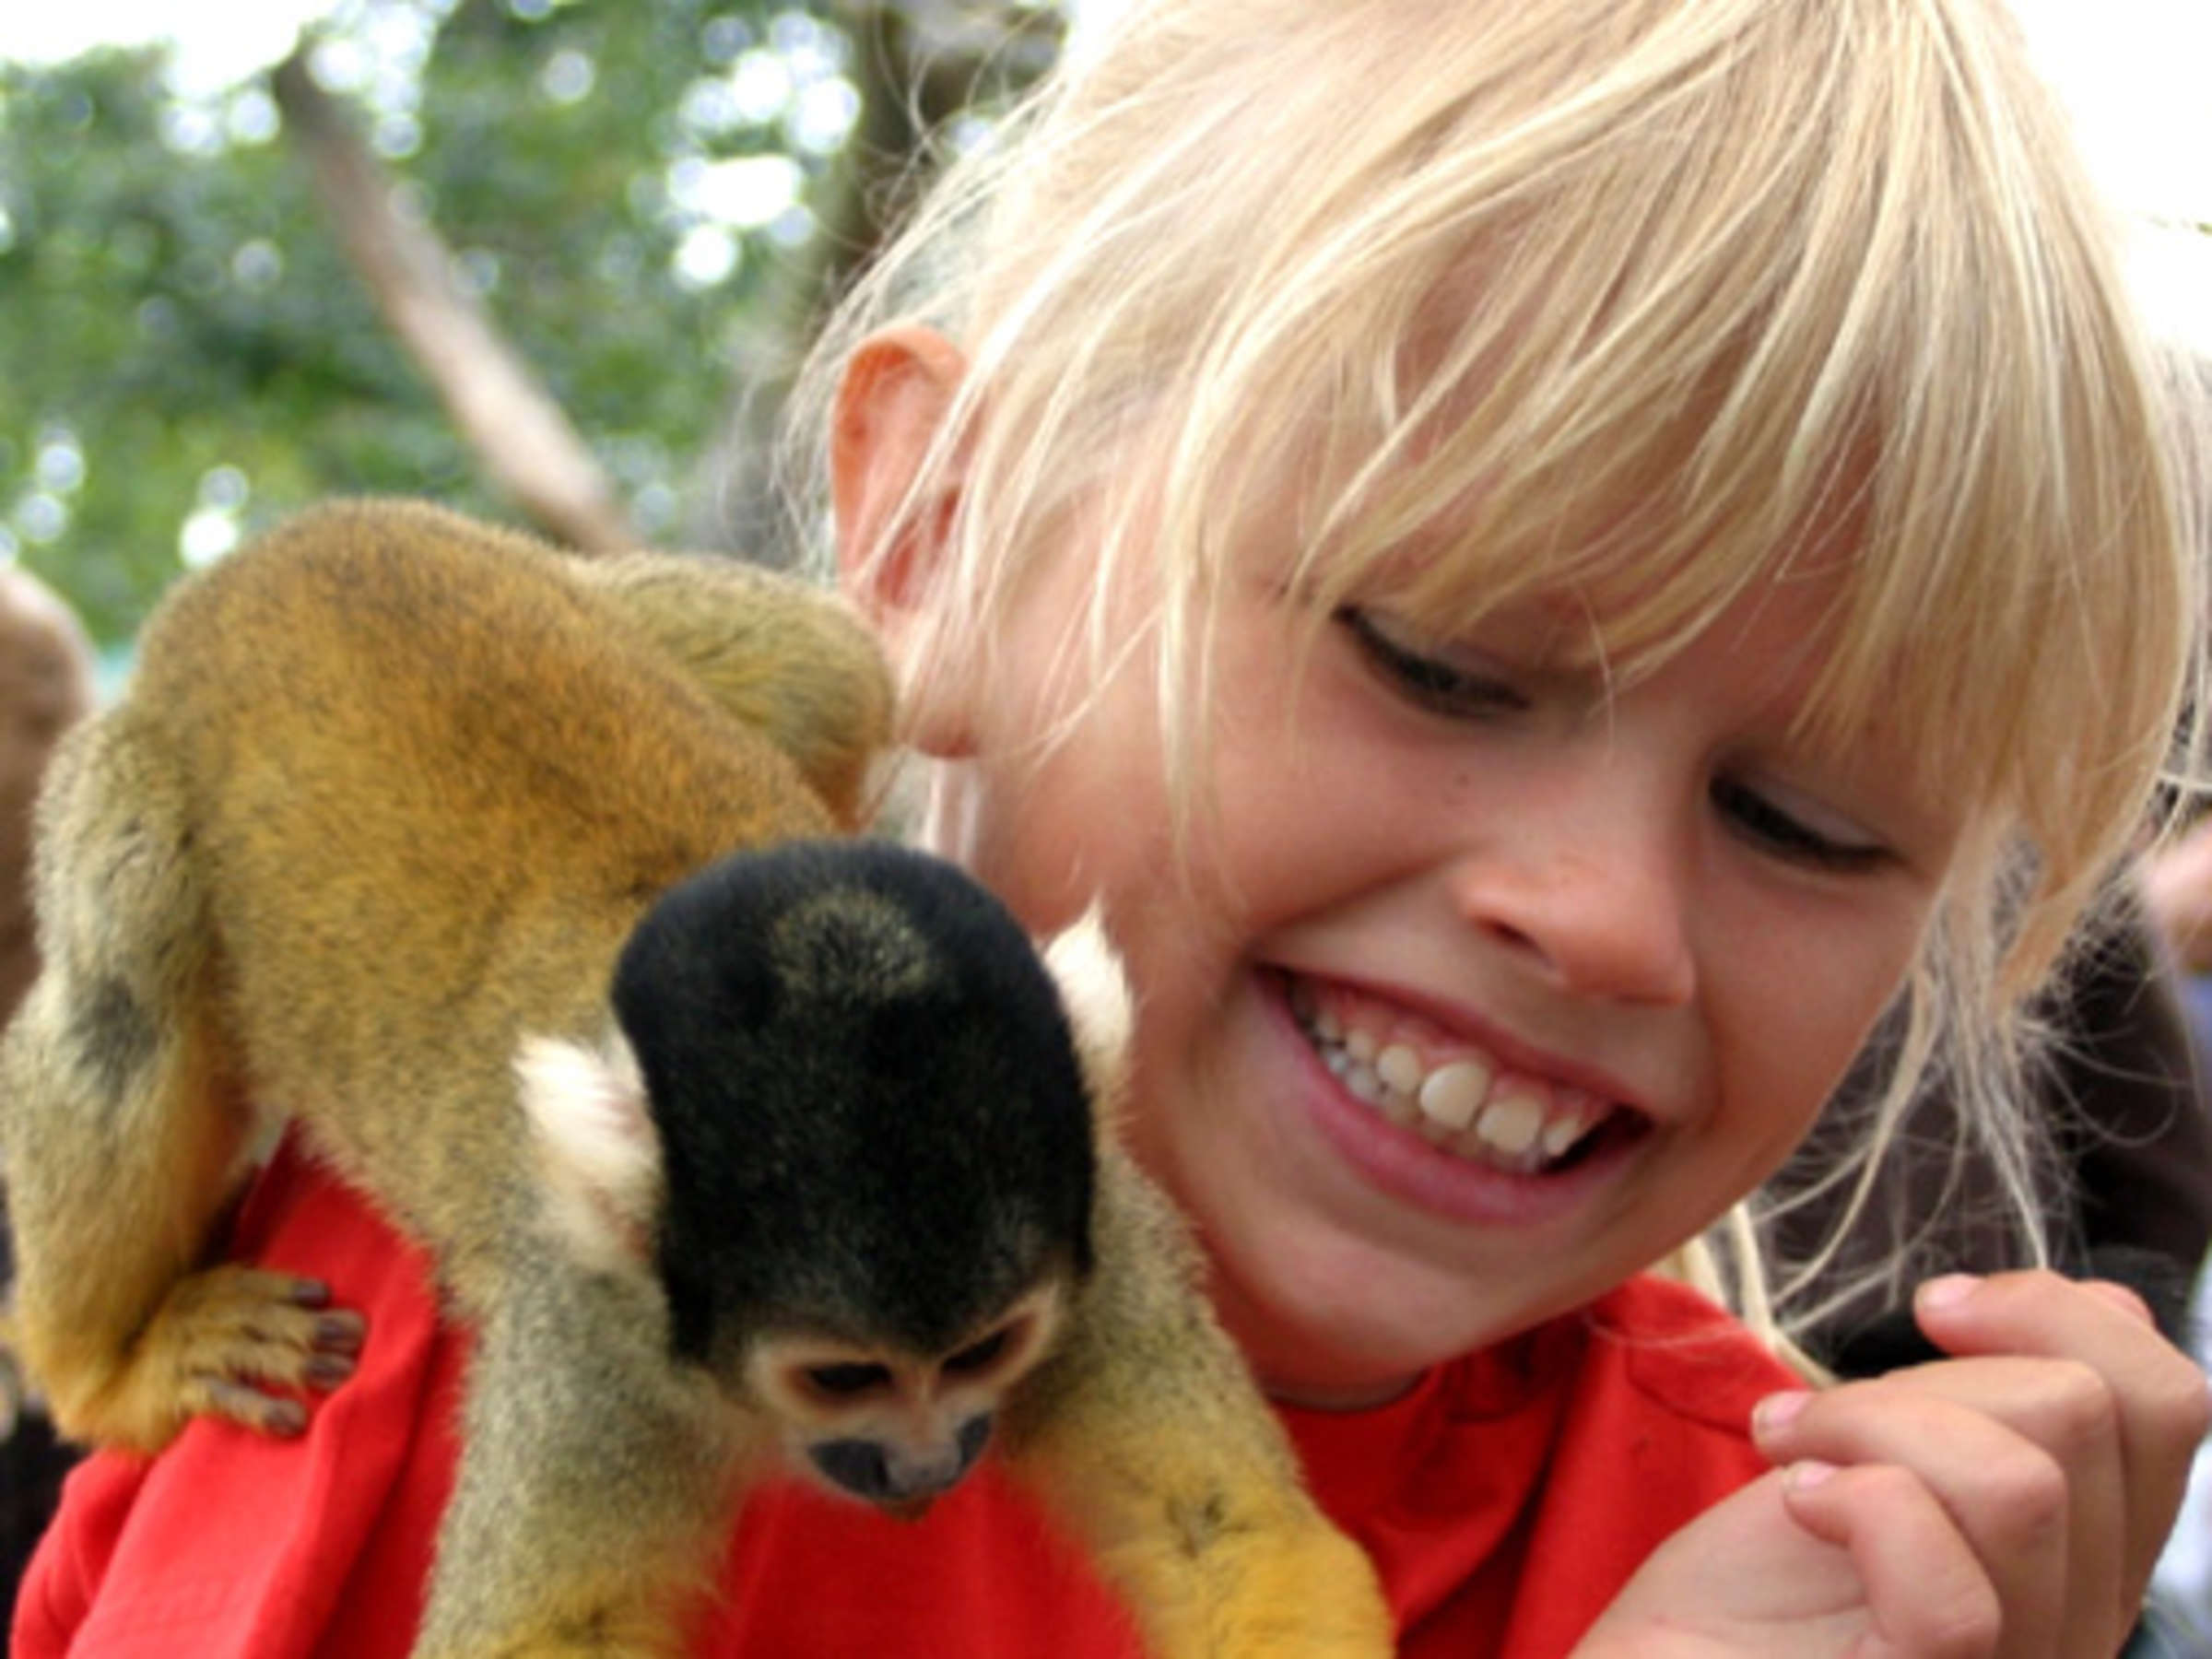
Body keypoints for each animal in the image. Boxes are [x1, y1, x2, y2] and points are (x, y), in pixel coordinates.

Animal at [0, 500, 1393, 1658]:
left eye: (986, 1347)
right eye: (844, 1378)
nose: (930, 1467)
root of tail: (265, 565)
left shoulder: (1096, 1243)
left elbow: (1232, 1530)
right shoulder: (589, 1350)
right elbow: (546, 1637)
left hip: (597, 593)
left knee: (827, 670)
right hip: (126, 768)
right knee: (125, 974)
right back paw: (105, 1366)